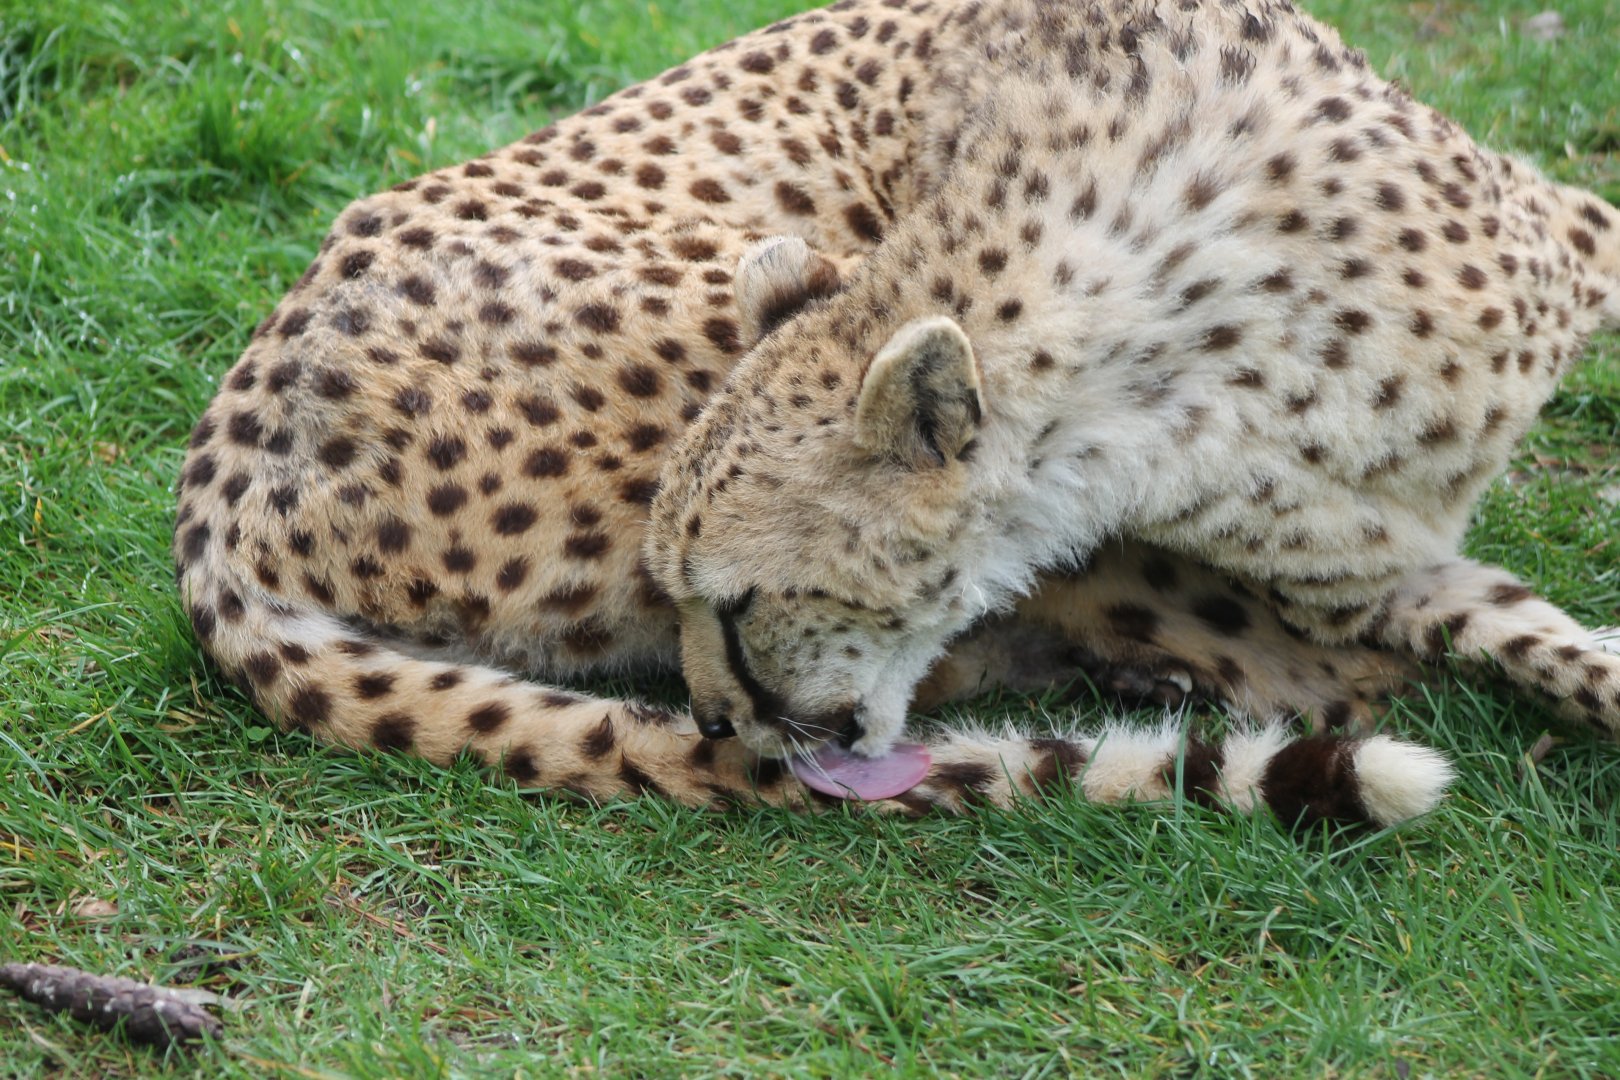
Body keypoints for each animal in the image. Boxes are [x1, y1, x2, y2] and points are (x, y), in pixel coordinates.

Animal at [171, 0, 1609, 831]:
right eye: (676, 593)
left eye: (742, 602)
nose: (713, 725)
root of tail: (216, 503)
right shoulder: (1341, 577)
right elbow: (1388, 646)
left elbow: (1517, 628)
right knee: (1288, 681)